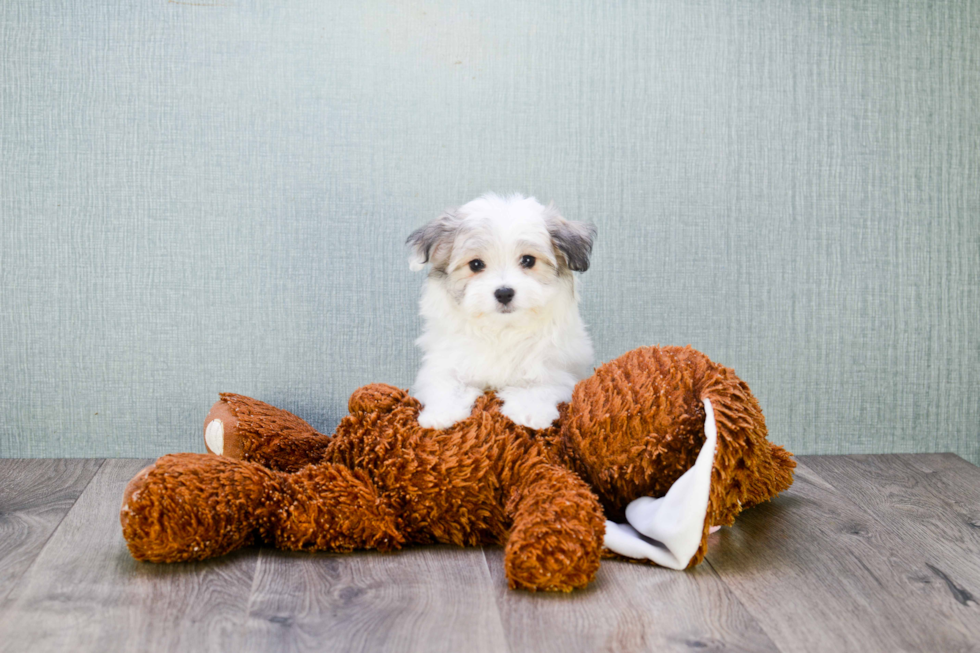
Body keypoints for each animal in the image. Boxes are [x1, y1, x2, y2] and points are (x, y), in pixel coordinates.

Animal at [406, 191, 596, 430]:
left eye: (528, 260)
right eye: (476, 264)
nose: (504, 293)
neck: (502, 329)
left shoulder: (554, 368)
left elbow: (538, 386)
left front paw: (529, 412)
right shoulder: (446, 362)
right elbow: (446, 384)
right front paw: (441, 414)